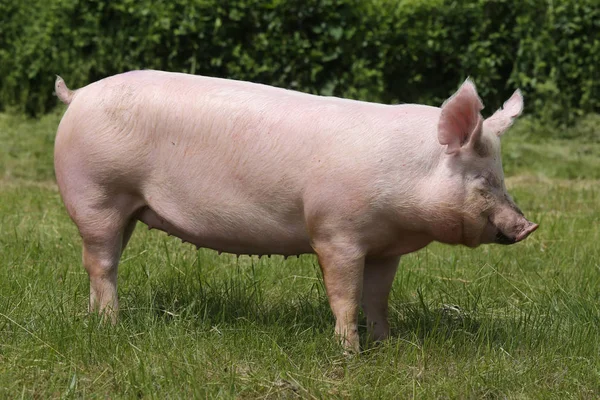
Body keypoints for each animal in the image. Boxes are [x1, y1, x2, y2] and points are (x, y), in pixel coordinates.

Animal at [54, 70, 536, 352]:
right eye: (483, 180)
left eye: (501, 176)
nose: (528, 226)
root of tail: (76, 95)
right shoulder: (335, 233)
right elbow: (345, 295)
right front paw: (349, 353)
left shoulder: (385, 248)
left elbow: (378, 297)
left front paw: (386, 344)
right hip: (96, 194)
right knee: (102, 263)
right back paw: (112, 326)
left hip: (125, 209)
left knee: (100, 262)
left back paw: (95, 320)